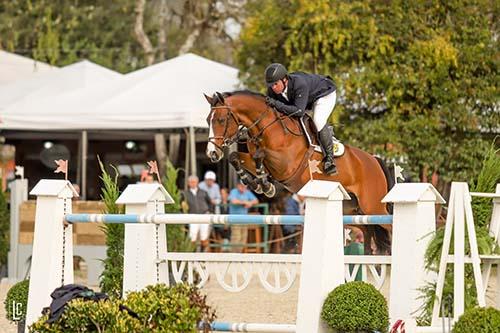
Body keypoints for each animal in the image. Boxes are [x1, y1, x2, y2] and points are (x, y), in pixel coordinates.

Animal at [205, 90, 392, 252]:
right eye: (208, 120)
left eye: (221, 120)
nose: (212, 153)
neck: (267, 128)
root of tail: (374, 160)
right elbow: (235, 156)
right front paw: (256, 183)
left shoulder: (285, 164)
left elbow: (260, 154)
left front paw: (265, 185)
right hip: (352, 211)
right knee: (368, 231)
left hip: (373, 207)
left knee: (389, 226)